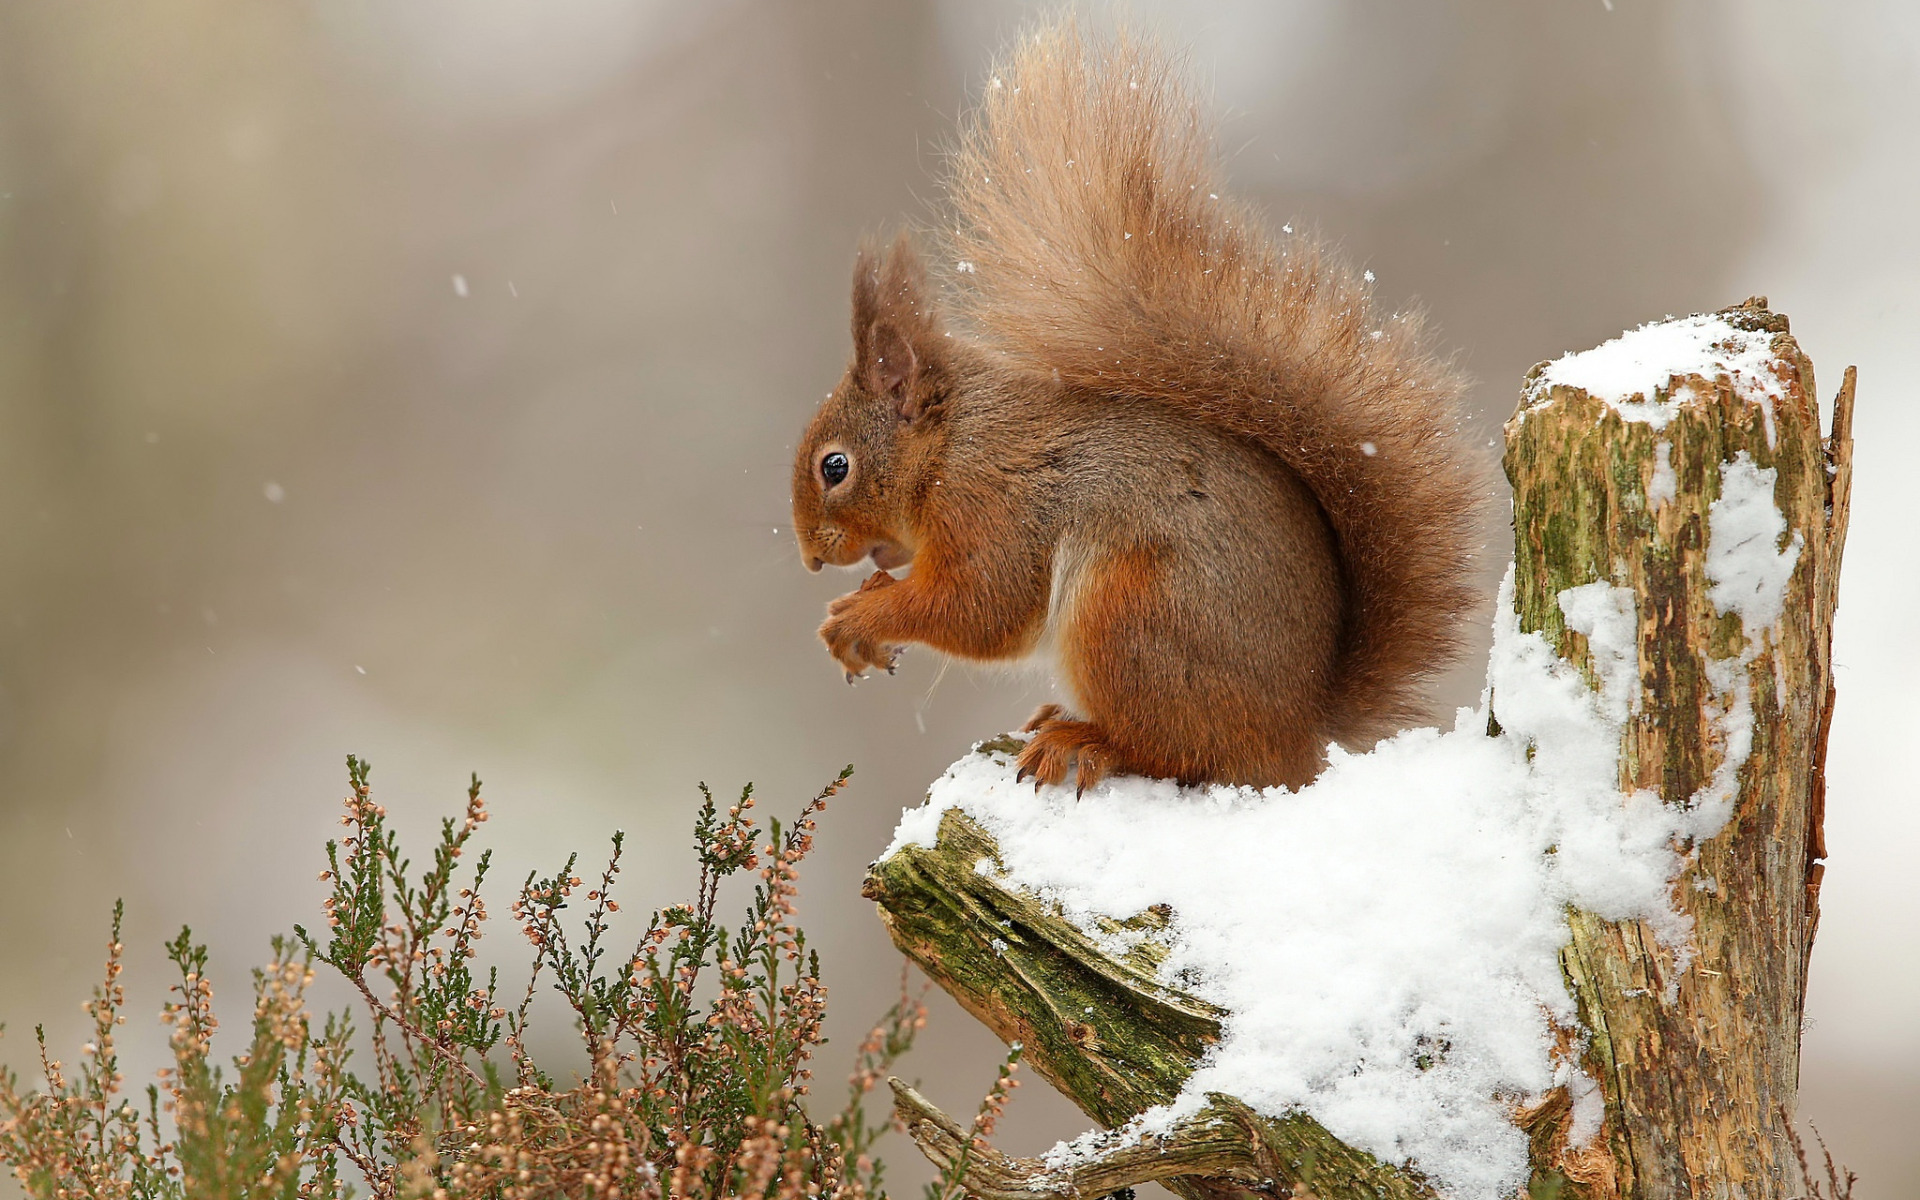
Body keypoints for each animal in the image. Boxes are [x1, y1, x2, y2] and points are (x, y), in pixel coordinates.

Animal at [787, 23, 1474, 791]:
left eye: (835, 467)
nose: (811, 558)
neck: (952, 444)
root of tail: (1299, 736)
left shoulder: (993, 507)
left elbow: (981, 608)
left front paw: (862, 615)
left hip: (1129, 616)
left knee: (1179, 751)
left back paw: (1086, 741)